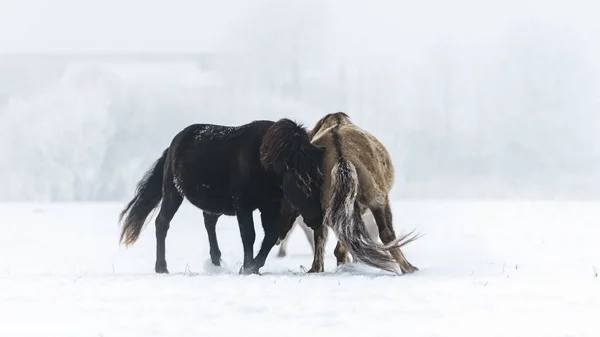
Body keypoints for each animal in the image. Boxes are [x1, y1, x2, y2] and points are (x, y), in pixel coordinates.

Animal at [116, 118, 324, 272]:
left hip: (212, 204)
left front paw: (253, 267)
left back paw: (216, 263)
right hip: (172, 193)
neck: (264, 160)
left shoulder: (269, 205)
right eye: (301, 181)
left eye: (319, 177)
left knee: (209, 222)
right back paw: (162, 268)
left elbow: (271, 236)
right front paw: (247, 268)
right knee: (162, 223)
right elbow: (249, 235)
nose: (317, 218)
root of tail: (172, 146)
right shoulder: (243, 204)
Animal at [278, 111, 420, 274]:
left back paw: (316, 268)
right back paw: (408, 267)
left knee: (322, 235)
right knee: (386, 233)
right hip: (378, 199)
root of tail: (341, 156)